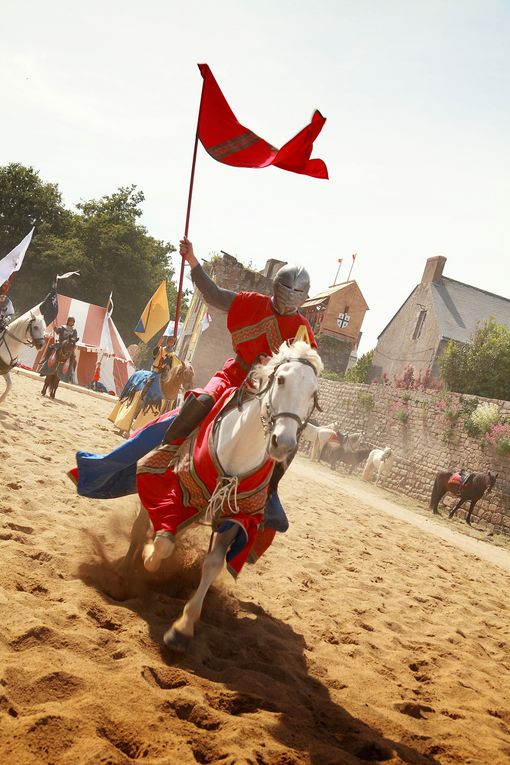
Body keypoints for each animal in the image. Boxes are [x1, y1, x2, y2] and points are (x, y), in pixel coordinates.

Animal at [124, 340, 322, 652]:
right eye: (281, 380)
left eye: (313, 393)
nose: (283, 443)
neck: (239, 444)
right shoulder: (176, 489)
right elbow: (162, 543)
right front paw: (148, 555)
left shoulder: (237, 516)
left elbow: (214, 563)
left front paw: (182, 628)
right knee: (142, 525)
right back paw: (127, 567)